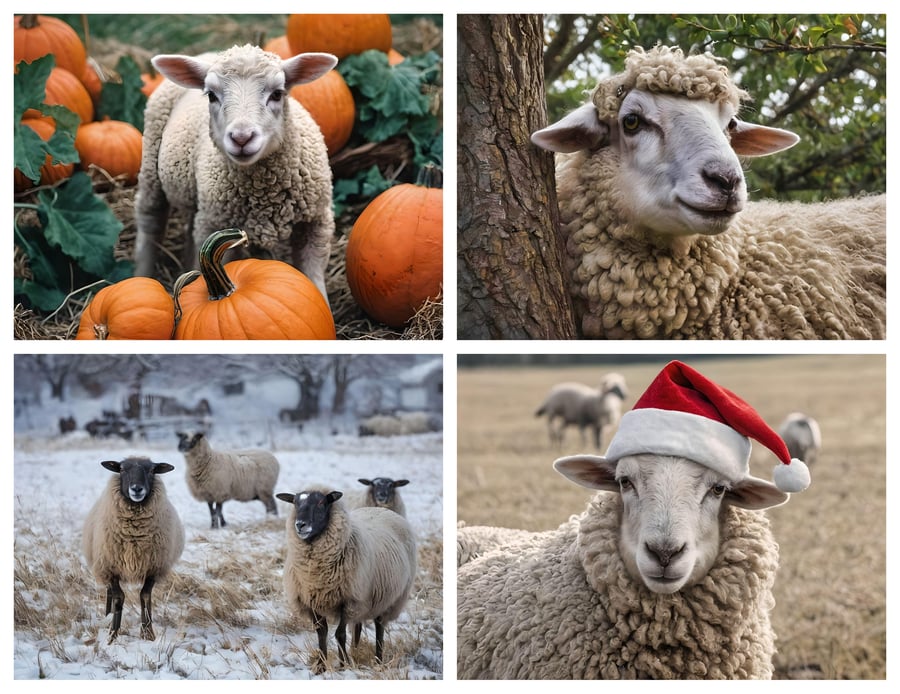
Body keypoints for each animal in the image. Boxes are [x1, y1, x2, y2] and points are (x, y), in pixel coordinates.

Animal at [82, 457, 185, 643]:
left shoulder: (153, 567)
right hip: (103, 564)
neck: (135, 533)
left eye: (151, 470)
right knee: (109, 593)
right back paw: (107, 616)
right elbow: (118, 598)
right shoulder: (111, 567)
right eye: (122, 469)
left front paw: (148, 633)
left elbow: (145, 596)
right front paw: (112, 636)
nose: (137, 489)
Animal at [134, 44, 337, 304]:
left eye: (277, 94)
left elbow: (314, 279)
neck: (264, 192)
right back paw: (141, 276)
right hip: (151, 163)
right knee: (150, 219)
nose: (242, 138)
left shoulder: (316, 223)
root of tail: (209, 53)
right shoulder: (215, 228)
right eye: (211, 95)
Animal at [276, 486, 417, 671]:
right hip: (364, 603)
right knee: (357, 627)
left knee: (379, 627)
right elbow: (322, 634)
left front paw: (343, 665)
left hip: (387, 599)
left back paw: (378, 660)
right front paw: (321, 666)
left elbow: (340, 634)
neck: (316, 573)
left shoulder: (349, 600)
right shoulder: (310, 601)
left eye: (321, 502)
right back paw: (355, 651)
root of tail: (380, 509)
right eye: (295, 503)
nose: (300, 524)